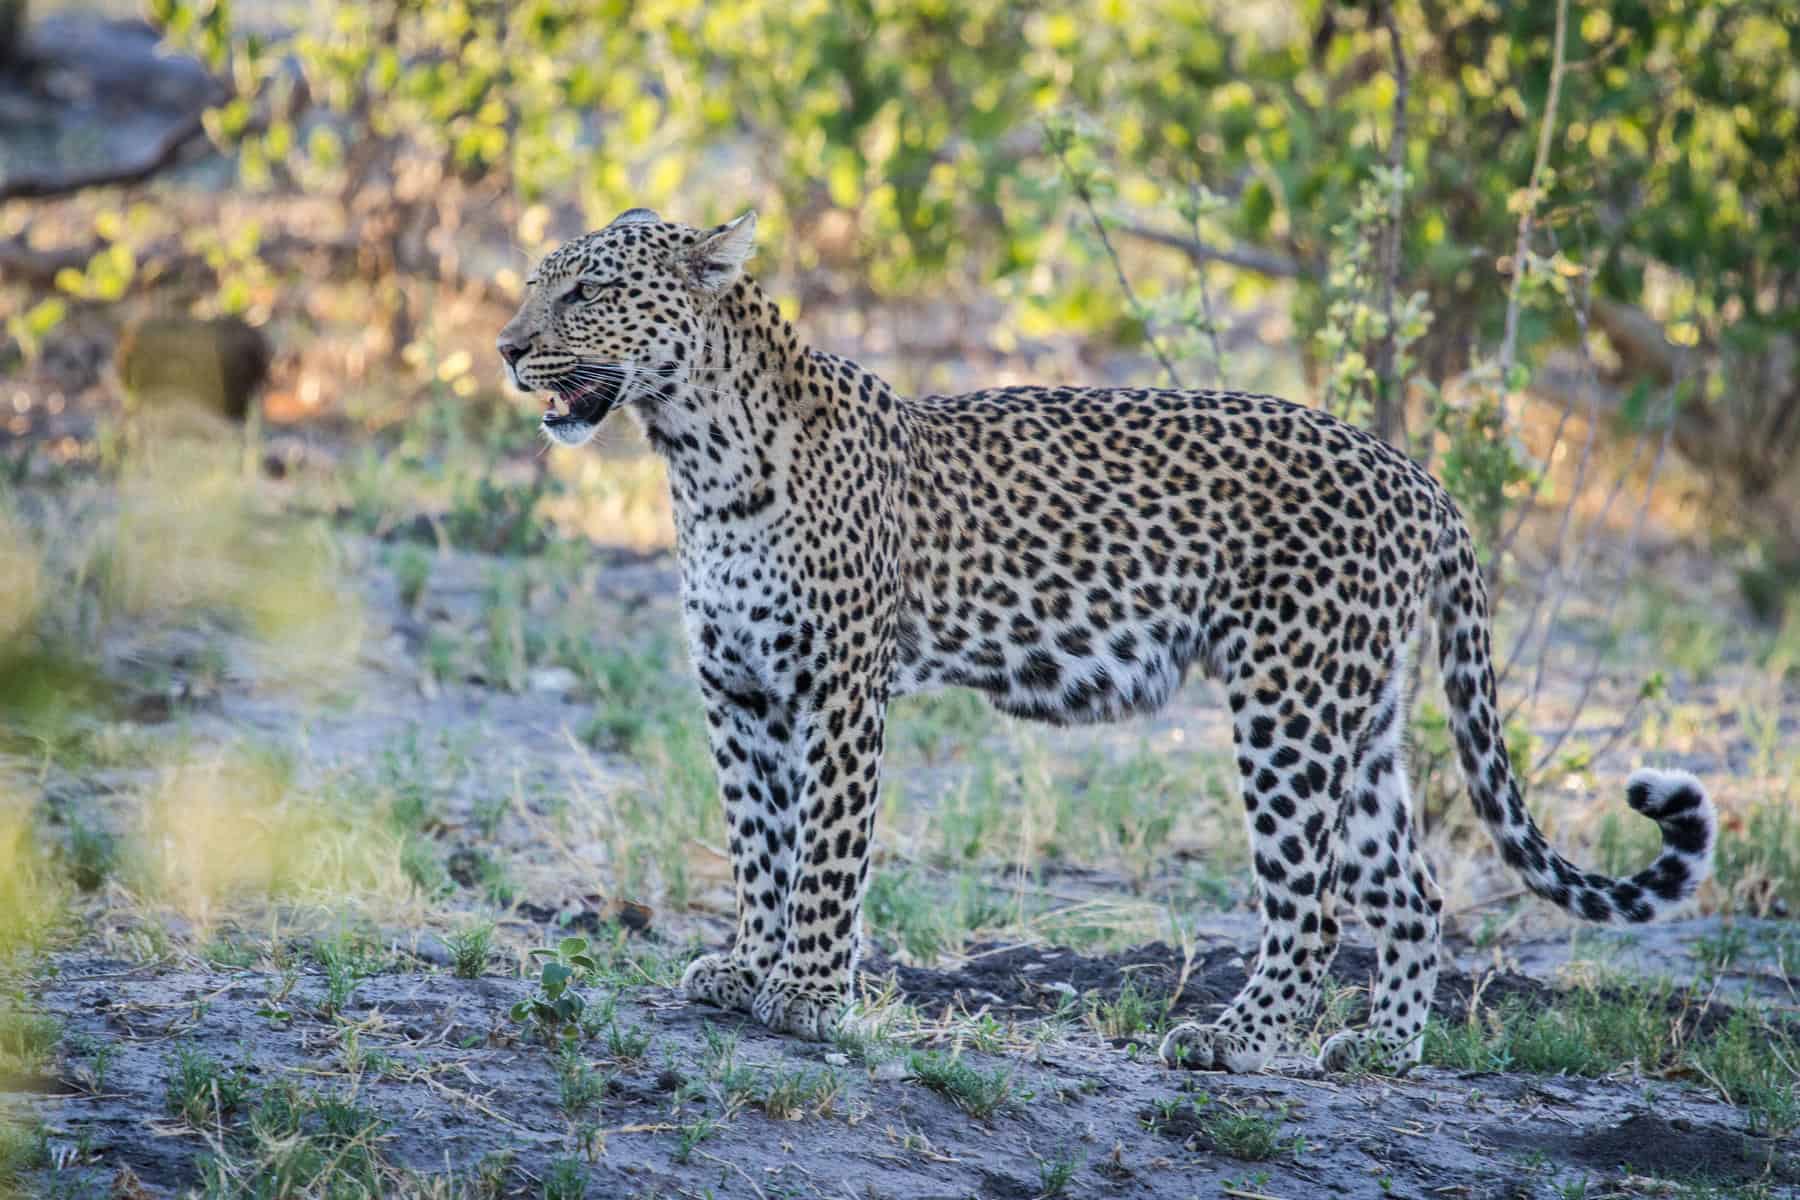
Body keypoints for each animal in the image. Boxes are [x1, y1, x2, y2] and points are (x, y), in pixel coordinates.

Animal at [497, 207, 1716, 1073]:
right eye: (533, 283)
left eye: (587, 291)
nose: (506, 349)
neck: (695, 454)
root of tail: (1422, 480)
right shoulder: (737, 688)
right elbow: (759, 841)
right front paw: (748, 968)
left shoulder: (841, 688)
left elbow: (825, 850)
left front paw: (804, 995)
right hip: (1357, 716)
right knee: (1412, 891)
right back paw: (1379, 1049)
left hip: (1288, 704)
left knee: (1312, 900)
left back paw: (1241, 1041)